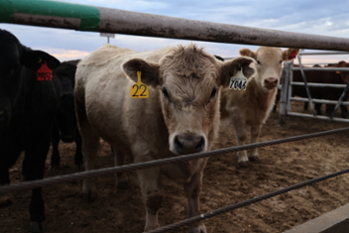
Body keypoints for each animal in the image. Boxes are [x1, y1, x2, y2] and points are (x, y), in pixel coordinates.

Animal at [75, 43, 254, 231]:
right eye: (165, 91)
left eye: (213, 91)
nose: (188, 143)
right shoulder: (145, 156)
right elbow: (153, 198)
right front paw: (152, 228)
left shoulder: (203, 155)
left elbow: (194, 191)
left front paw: (197, 224)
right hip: (83, 118)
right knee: (89, 151)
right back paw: (88, 188)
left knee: (118, 149)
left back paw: (121, 180)